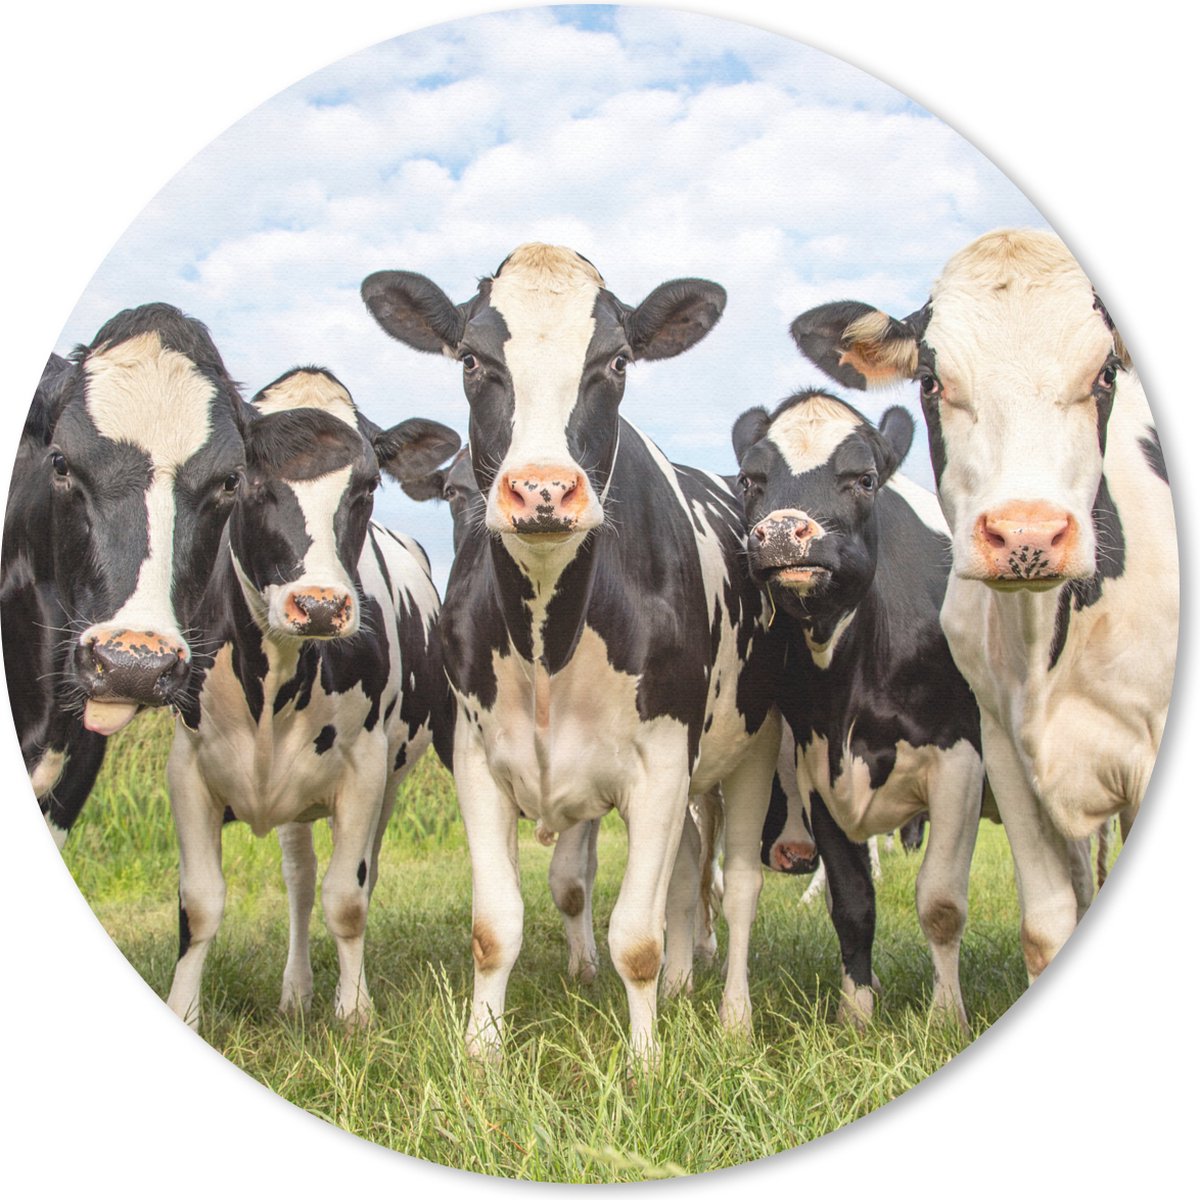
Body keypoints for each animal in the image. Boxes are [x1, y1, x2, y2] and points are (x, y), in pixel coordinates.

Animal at [164, 367, 458, 1029]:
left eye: (368, 484)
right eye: (242, 479)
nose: (321, 606)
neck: (273, 681)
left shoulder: (365, 768)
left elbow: (347, 898)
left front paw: (354, 1011)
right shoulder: (187, 765)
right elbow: (200, 904)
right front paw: (184, 1011)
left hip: (387, 780)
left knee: (355, 875)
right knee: (298, 881)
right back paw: (295, 990)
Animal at [362, 244, 782, 1063]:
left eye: (615, 361)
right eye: (472, 358)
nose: (543, 490)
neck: (547, 641)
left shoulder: (663, 764)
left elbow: (637, 937)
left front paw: (646, 1064)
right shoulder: (475, 759)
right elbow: (496, 927)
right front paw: (482, 1056)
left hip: (753, 747)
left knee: (739, 885)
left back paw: (733, 1015)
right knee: (690, 869)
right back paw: (684, 984)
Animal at [732, 389, 985, 1027]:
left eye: (864, 479)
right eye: (750, 479)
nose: (781, 532)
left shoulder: (960, 759)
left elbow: (941, 900)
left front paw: (946, 1018)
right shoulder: (819, 768)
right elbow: (851, 902)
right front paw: (857, 1014)